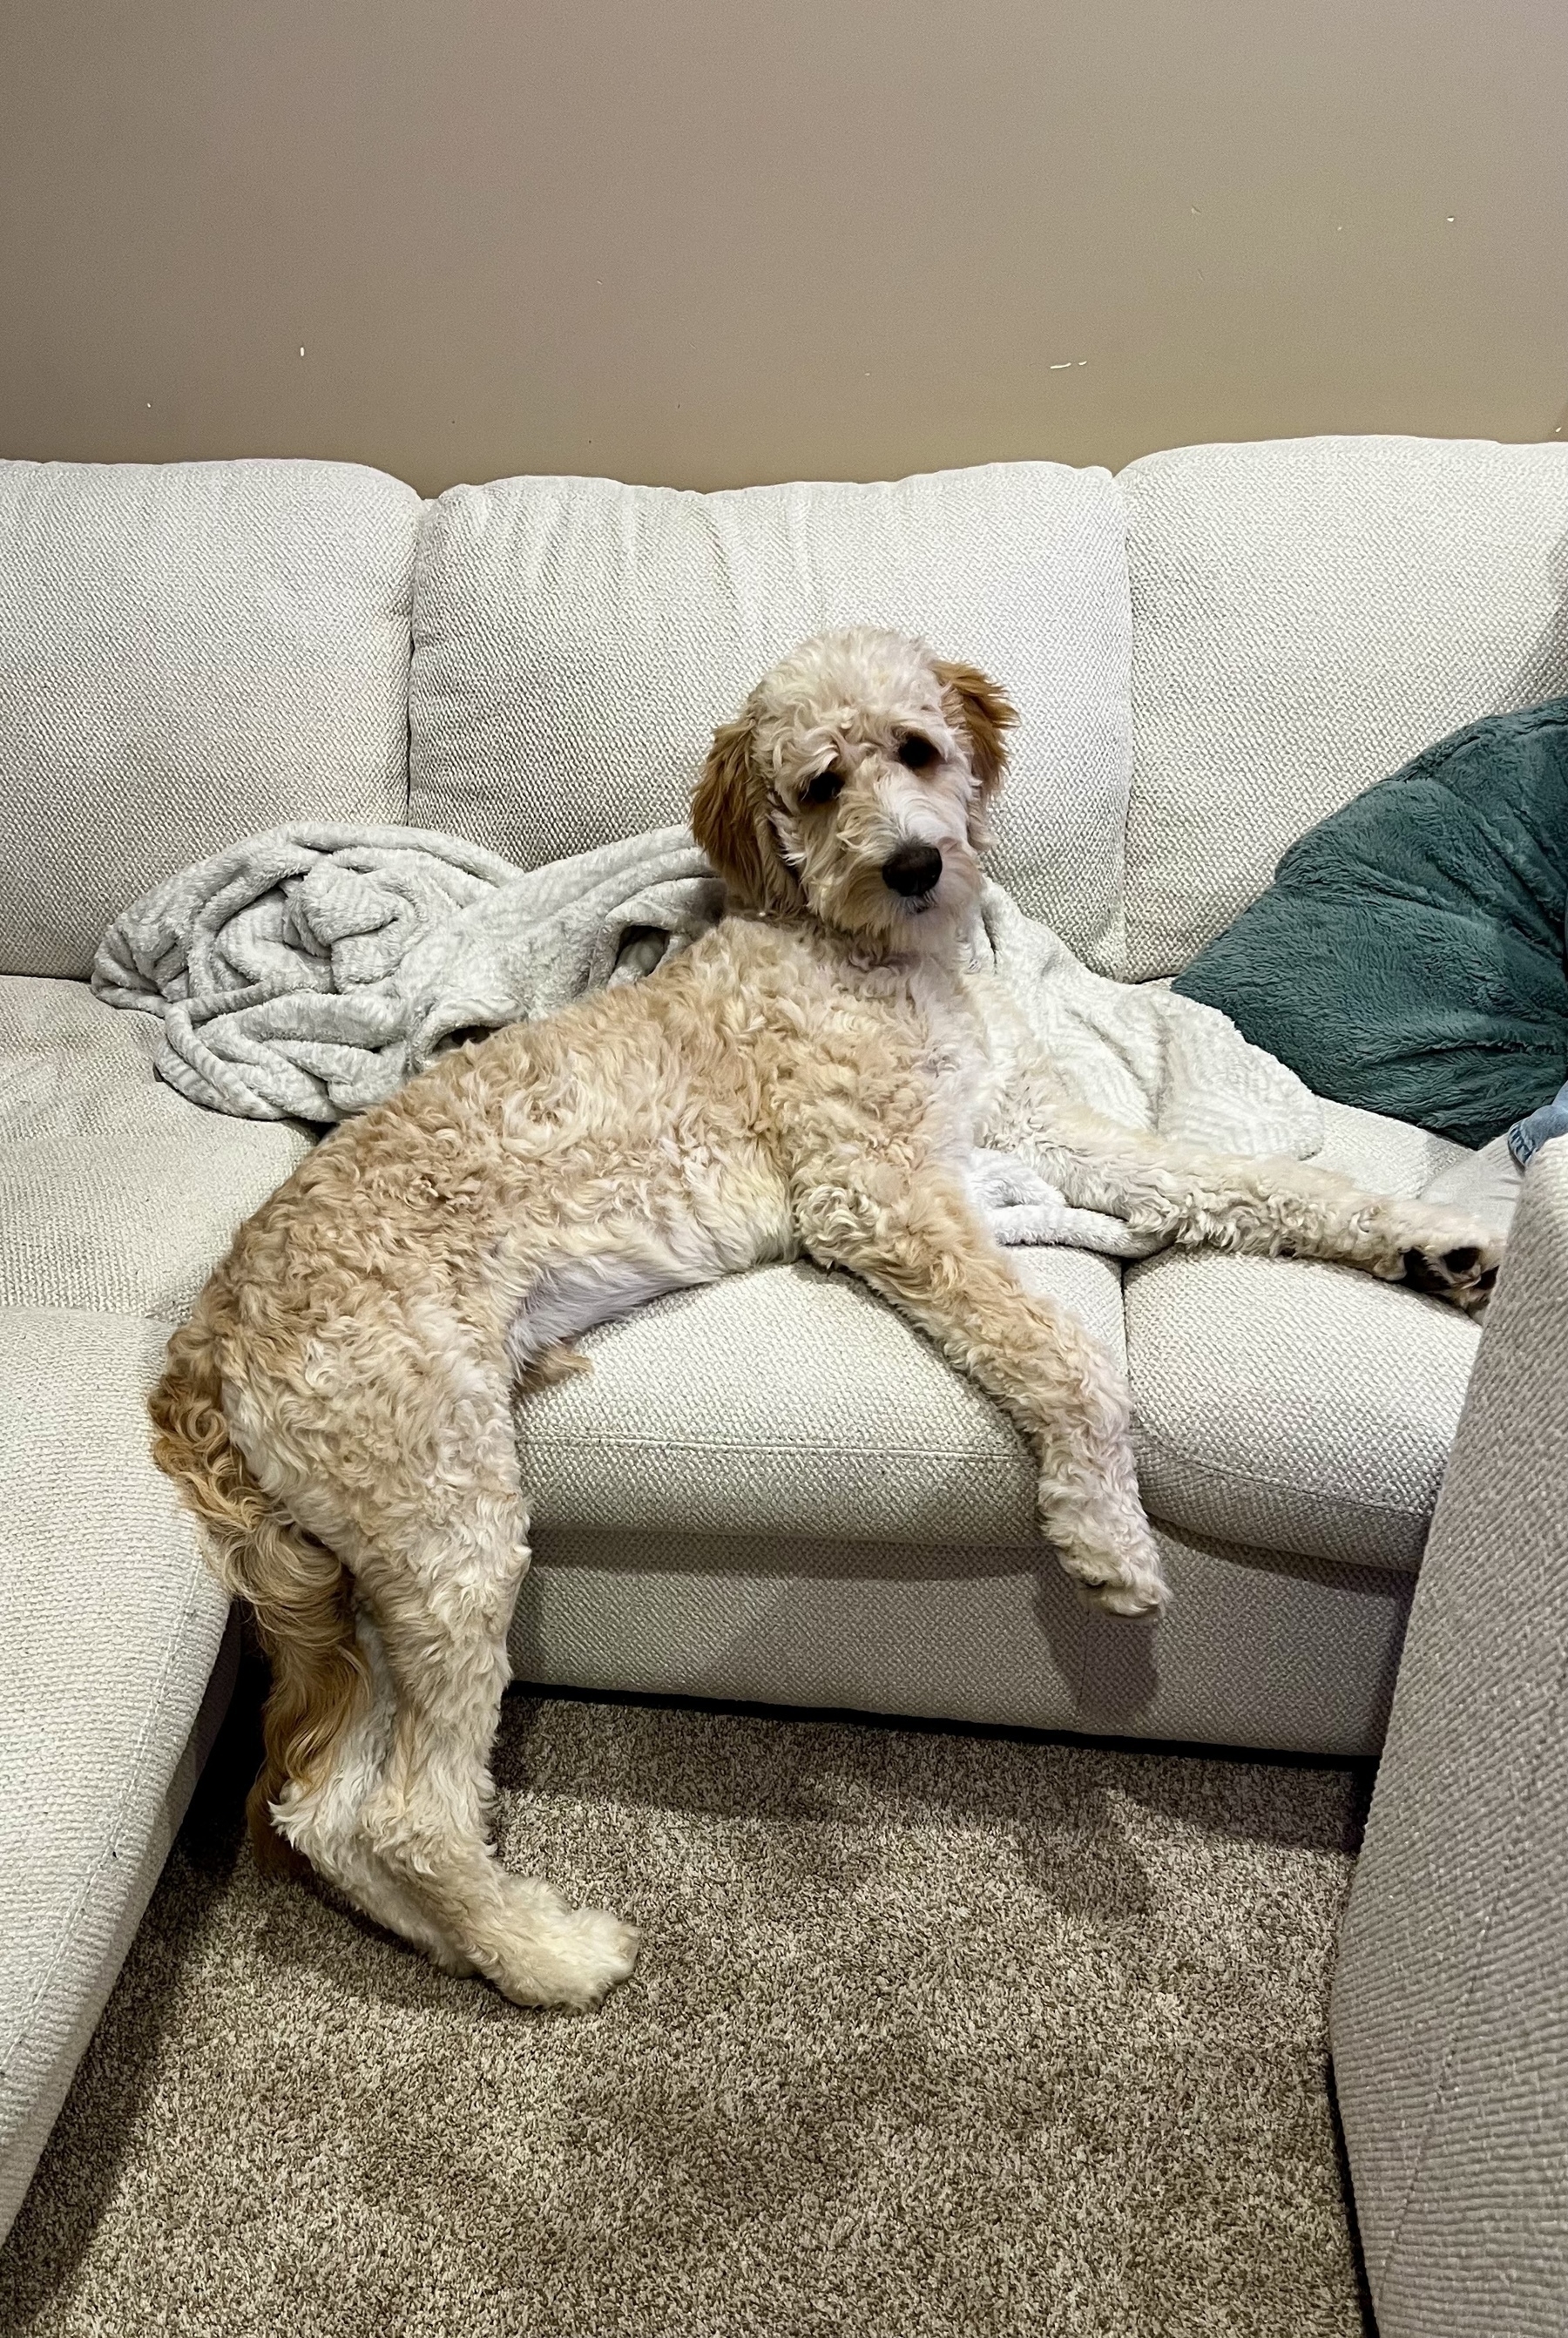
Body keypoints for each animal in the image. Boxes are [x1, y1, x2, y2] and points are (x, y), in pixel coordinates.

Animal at [151, 626, 1504, 2010]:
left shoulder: (1038, 1134)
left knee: (323, 1811)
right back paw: (543, 1955)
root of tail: (210, 1331)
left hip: (377, 1558)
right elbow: (1065, 1350)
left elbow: (1248, 1182)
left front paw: (1435, 1238)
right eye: (817, 786)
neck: (868, 958)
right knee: (409, 1812)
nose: (914, 865)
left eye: (916, 750)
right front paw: (1104, 1533)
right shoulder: (877, 1191)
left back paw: (447, 1940)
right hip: (446, 1520)